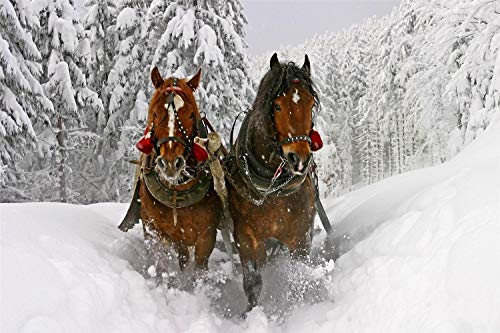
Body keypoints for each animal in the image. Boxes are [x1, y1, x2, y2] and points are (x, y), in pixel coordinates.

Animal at [136, 67, 224, 270]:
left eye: (191, 115)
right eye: (155, 114)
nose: (170, 163)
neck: (177, 191)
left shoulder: (207, 236)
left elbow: (199, 268)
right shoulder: (155, 229)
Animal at [226, 53, 320, 310]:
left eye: (311, 104)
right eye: (277, 106)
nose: (299, 158)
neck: (272, 188)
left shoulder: (300, 235)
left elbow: (298, 275)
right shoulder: (246, 236)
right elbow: (253, 282)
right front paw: (251, 312)